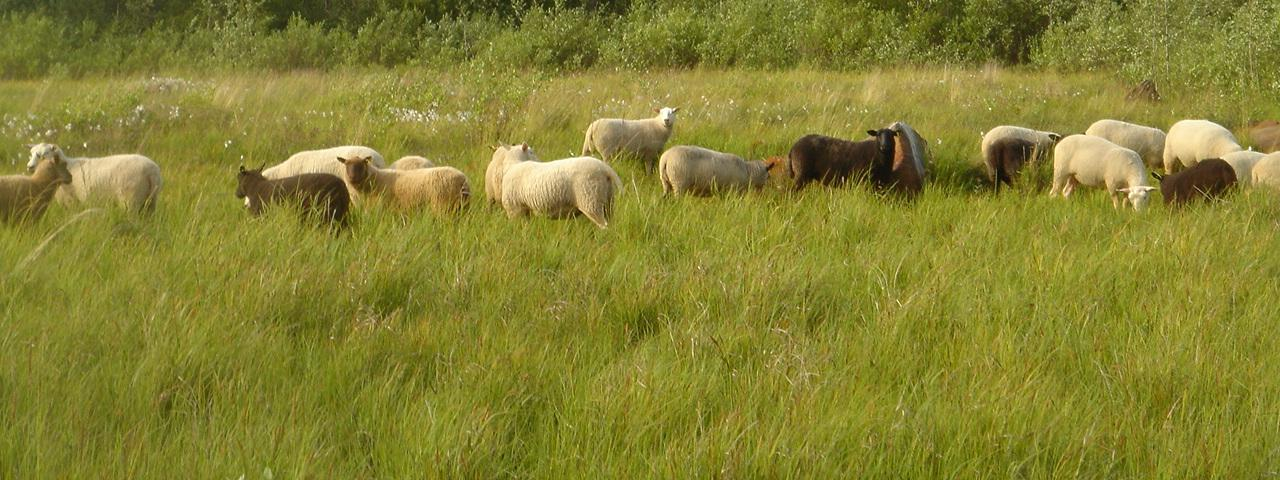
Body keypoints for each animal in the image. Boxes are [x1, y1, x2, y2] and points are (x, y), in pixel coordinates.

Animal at [25, 142, 162, 213]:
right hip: (151, 201)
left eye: (43, 155)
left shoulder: (71, 202)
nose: (29, 167)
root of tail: (152, 171)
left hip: (131, 199)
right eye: (30, 154)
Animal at [337, 156, 473, 213]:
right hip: (462, 207)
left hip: (442, 205)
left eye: (361, 164)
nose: (352, 177)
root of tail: (463, 179)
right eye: (346, 164)